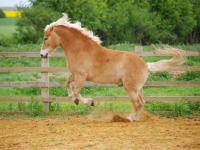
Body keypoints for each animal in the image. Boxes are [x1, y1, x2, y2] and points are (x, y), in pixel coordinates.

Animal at [39, 13, 187, 122]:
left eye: (46, 38)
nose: (42, 54)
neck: (80, 49)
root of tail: (145, 65)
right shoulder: (75, 74)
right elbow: (67, 85)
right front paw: (75, 100)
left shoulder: (81, 76)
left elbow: (76, 91)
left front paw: (90, 102)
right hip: (136, 89)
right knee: (141, 102)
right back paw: (133, 118)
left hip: (130, 89)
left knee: (137, 104)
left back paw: (127, 119)